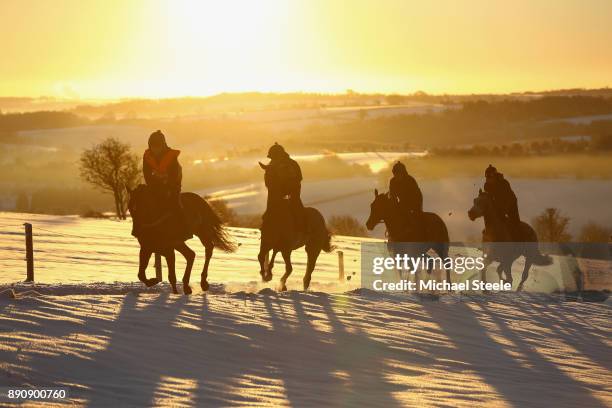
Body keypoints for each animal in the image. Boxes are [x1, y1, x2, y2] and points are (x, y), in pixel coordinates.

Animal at [258, 162, 334, 290]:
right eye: (266, 172)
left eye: (276, 172)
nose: (269, 182)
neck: (276, 214)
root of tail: (321, 219)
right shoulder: (266, 243)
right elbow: (261, 257)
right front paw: (265, 275)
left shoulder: (286, 249)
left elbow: (289, 268)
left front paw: (280, 285)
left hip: (313, 249)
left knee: (309, 271)